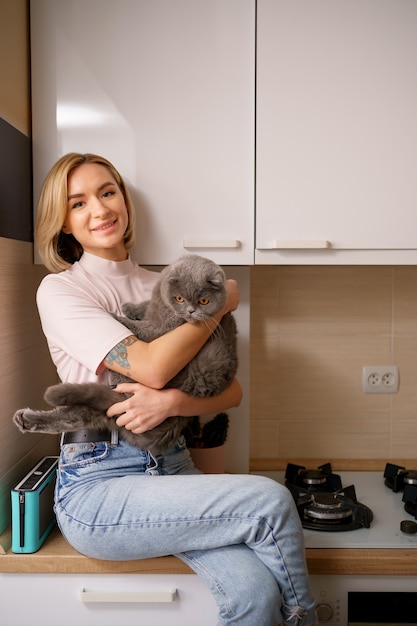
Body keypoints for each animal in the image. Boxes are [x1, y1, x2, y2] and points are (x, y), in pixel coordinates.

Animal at [13, 254, 237, 454]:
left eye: (204, 301)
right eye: (180, 298)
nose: (190, 311)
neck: (165, 307)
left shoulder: (161, 330)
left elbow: (138, 327)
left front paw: (115, 315)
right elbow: (146, 305)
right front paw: (131, 307)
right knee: (75, 415)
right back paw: (26, 420)